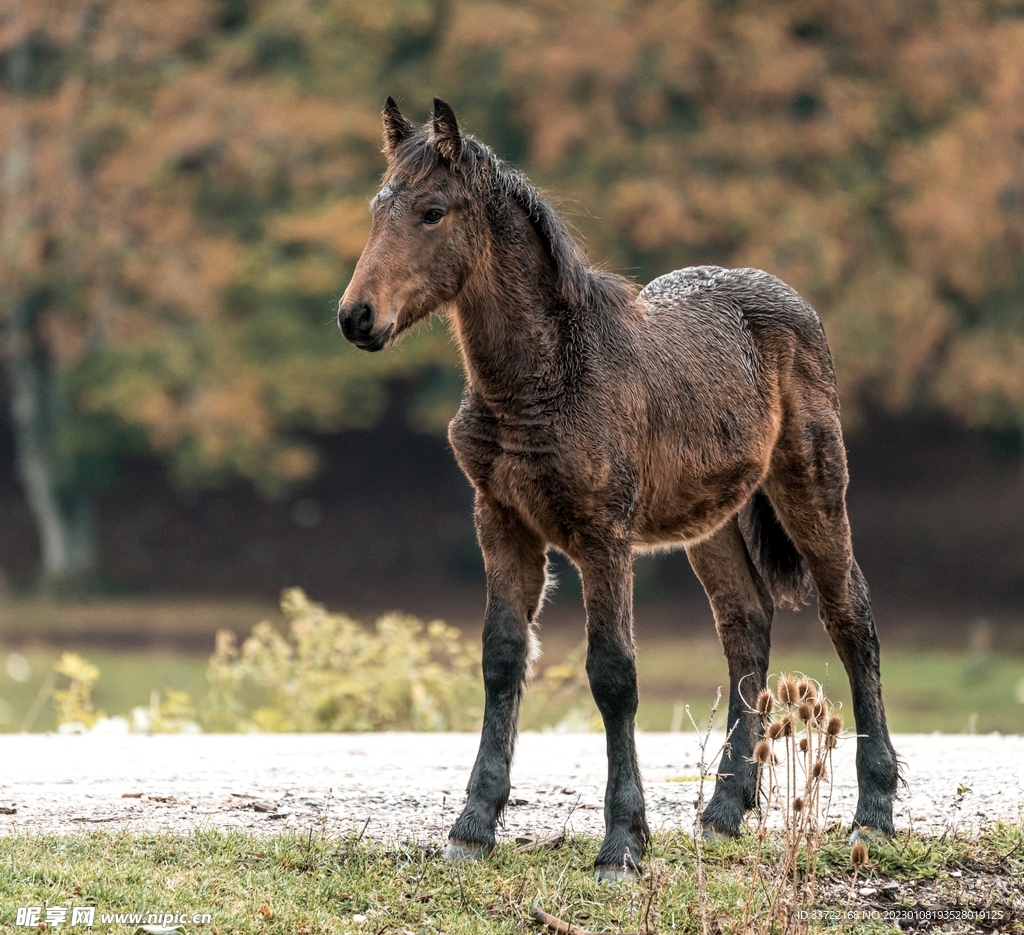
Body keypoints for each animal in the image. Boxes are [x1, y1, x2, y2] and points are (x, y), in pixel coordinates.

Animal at [337, 97, 899, 880]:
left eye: (432, 212)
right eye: (376, 207)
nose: (356, 317)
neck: (543, 377)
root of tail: (788, 298)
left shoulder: (603, 535)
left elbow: (613, 674)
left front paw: (622, 845)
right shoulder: (501, 520)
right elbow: (502, 657)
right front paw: (471, 827)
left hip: (811, 481)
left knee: (850, 614)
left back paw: (873, 813)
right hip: (711, 519)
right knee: (746, 623)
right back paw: (724, 811)